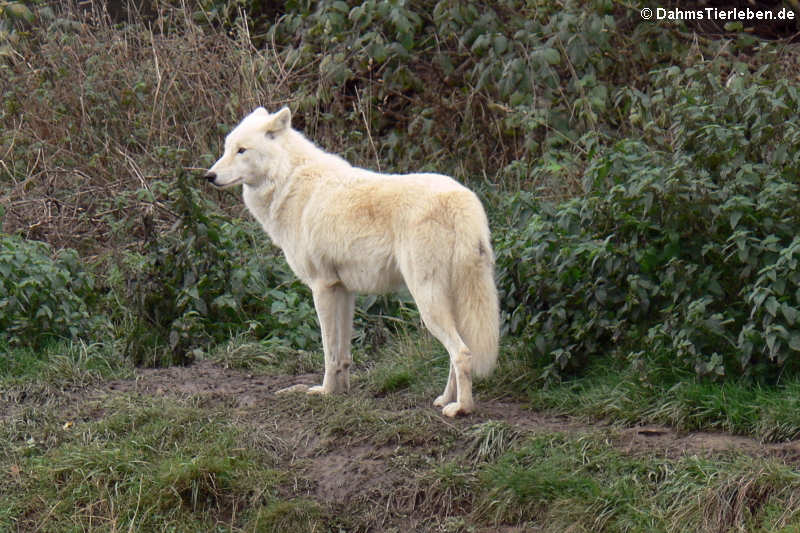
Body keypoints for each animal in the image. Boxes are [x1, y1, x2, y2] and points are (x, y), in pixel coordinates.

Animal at [203, 108, 496, 416]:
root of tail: (464, 199)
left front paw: (324, 392)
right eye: (226, 149)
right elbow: (343, 353)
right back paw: (444, 399)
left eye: (242, 150)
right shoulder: (343, 289)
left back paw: (461, 408)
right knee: (457, 353)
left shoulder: (322, 287)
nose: (209, 176)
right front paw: (341, 392)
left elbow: (328, 350)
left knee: (462, 353)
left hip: (427, 302)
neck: (288, 181)